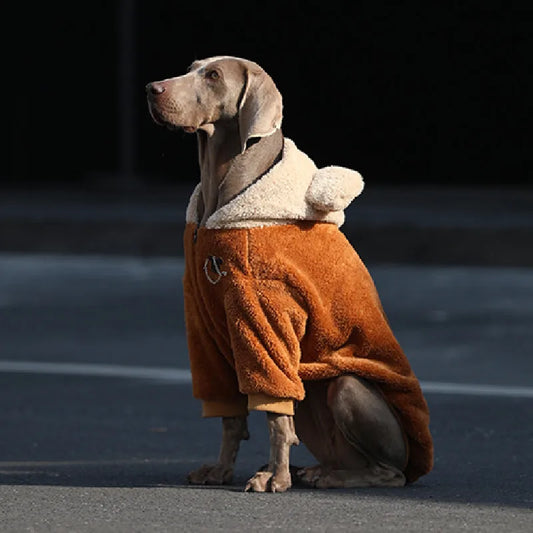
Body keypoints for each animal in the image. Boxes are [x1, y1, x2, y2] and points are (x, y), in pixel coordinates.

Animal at [147, 55, 432, 490]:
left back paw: (326, 477)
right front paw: (222, 470)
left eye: (213, 76)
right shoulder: (207, 328)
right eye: (193, 66)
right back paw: (313, 469)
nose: (151, 89)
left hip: (347, 388)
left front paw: (275, 479)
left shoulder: (266, 317)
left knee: (389, 472)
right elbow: (231, 416)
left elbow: (276, 417)